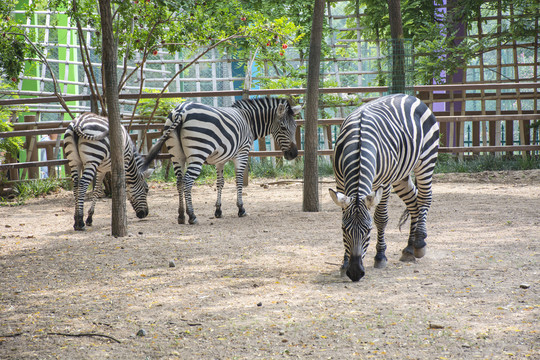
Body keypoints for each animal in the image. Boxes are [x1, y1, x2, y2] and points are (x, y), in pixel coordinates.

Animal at [143, 97, 302, 224]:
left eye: (295, 126)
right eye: (283, 127)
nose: (294, 154)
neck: (248, 121)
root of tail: (181, 110)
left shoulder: (220, 160)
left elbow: (220, 183)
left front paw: (218, 210)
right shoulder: (242, 153)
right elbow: (239, 180)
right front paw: (241, 208)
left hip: (177, 155)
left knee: (179, 181)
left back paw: (181, 215)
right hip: (198, 152)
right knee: (187, 180)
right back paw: (192, 215)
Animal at [330, 94, 438, 282]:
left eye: (368, 230)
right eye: (344, 230)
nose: (355, 273)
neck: (358, 144)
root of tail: (411, 96)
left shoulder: (384, 184)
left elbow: (381, 218)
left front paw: (380, 256)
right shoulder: (340, 182)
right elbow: (343, 215)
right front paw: (344, 263)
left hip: (426, 160)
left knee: (425, 197)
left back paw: (419, 244)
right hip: (401, 175)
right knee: (413, 202)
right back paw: (409, 248)